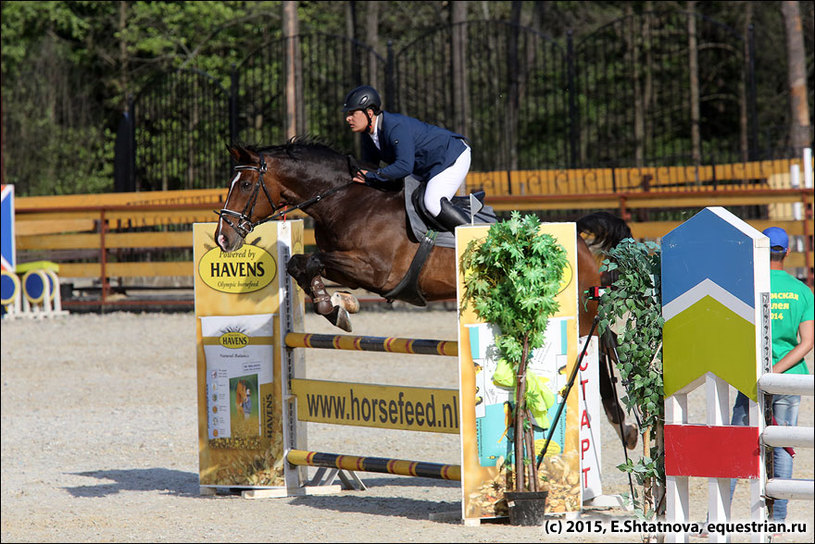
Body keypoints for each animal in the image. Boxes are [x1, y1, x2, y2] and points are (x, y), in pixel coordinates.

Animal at [214, 141, 640, 450]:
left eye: (246, 186)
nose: (223, 238)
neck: (345, 201)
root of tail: (580, 240)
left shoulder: (378, 272)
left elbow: (312, 261)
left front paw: (339, 306)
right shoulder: (345, 264)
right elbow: (300, 264)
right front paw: (334, 306)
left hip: (580, 311)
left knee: (603, 342)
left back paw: (624, 424)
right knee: (605, 341)